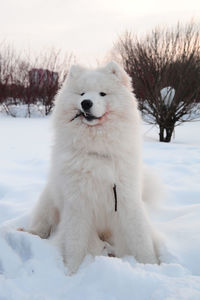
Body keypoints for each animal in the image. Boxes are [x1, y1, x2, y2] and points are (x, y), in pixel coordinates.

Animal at [21, 62, 161, 274]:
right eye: (82, 93)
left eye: (102, 93)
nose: (86, 103)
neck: (97, 151)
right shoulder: (78, 204)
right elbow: (75, 243)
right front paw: (71, 272)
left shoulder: (127, 199)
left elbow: (140, 238)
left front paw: (151, 266)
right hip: (49, 202)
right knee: (43, 226)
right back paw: (29, 232)